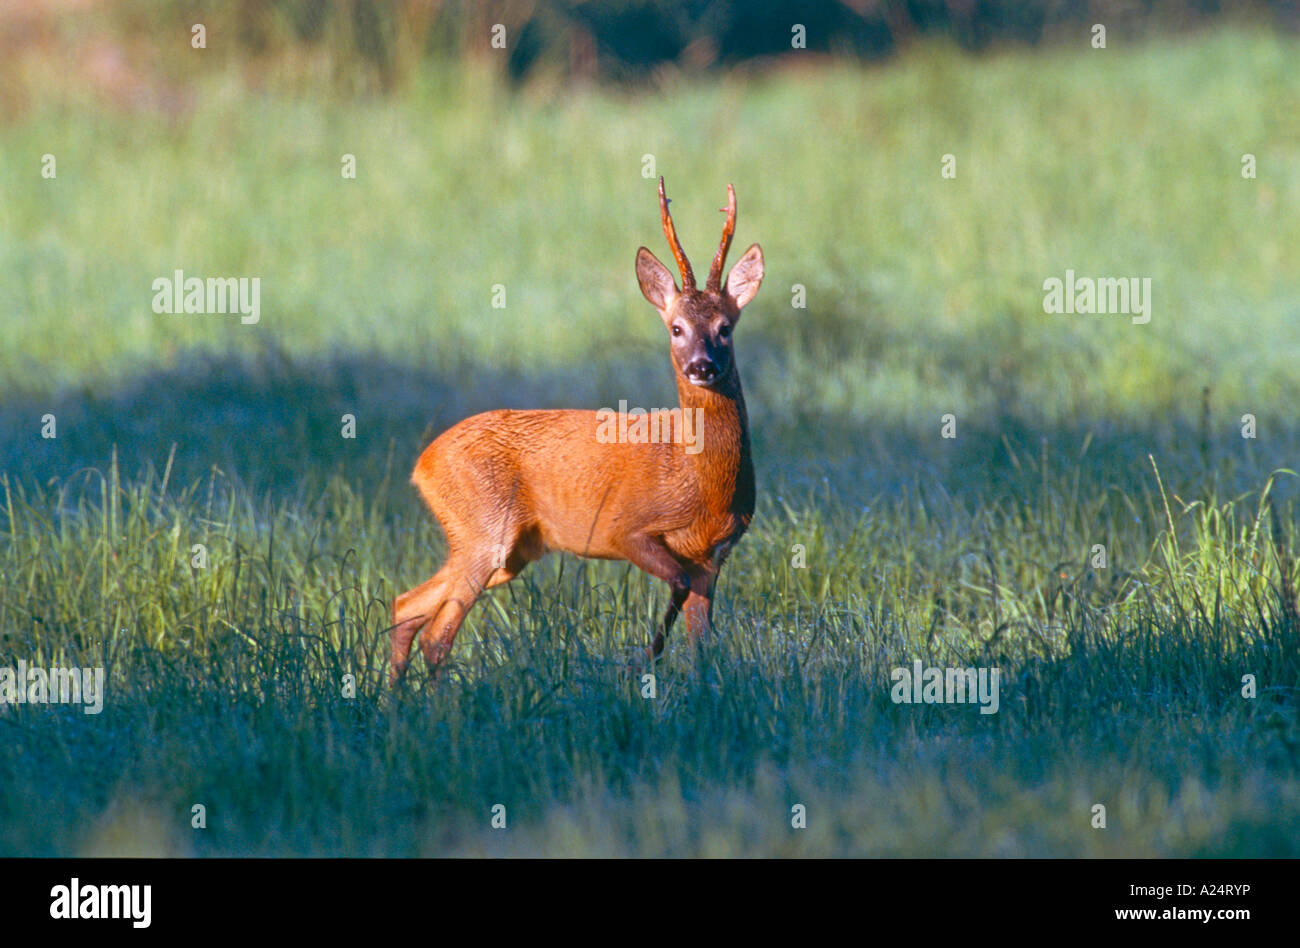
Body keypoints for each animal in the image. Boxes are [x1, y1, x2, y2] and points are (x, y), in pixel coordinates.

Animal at [390, 176, 764, 681]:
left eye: (726, 327)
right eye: (676, 328)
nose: (702, 367)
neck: (703, 481)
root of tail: (422, 465)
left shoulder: (715, 555)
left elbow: (704, 644)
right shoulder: (627, 528)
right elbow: (678, 584)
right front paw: (643, 657)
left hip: (508, 550)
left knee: (406, 606)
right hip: (484, 528)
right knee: (436, 634)